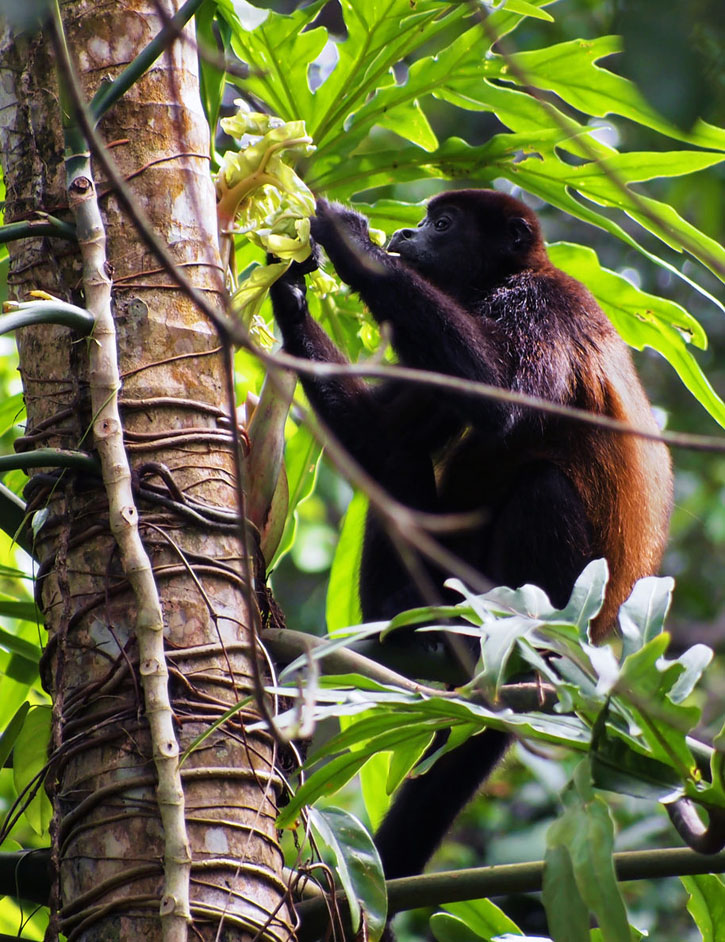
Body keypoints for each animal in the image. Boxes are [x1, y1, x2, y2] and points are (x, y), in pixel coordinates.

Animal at [270, 192, 672, 884]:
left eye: (442, 224)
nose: (405, 230)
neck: (499, 282)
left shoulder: (540, 307)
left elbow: (497, 400)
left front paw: (350, 243)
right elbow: (389, 430)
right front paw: (290, 292)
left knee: (541, 485)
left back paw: (509, 643)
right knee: (399, 464)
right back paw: (404, 623)